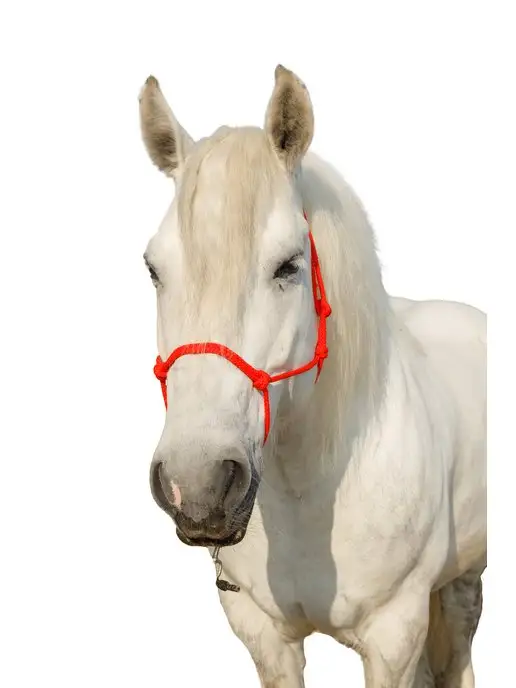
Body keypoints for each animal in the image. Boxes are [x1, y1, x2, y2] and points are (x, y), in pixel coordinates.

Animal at [139, 65, 486, 687]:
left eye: (288, 266)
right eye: (154, 269)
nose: (196, 485)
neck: (310, 488)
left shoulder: (393, 637)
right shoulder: (264, 636)